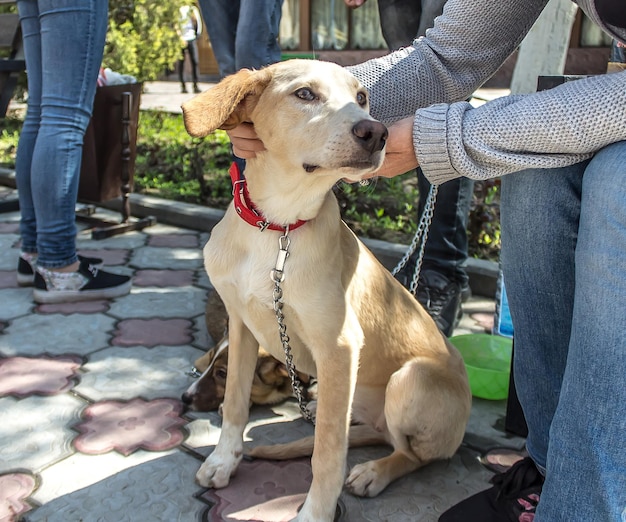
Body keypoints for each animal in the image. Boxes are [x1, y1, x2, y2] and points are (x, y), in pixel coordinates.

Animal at [180, 59, 468, 516]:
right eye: (305, 94)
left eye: (362, 97)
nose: (377, 133)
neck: (278, 227)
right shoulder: (241, 327)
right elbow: (235, 405)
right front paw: (224, 461)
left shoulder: (339, 347)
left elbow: (327, 451)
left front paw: (315, 512)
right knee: (371, 432)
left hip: (411, 378)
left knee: (411, 454)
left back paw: (375, 472)